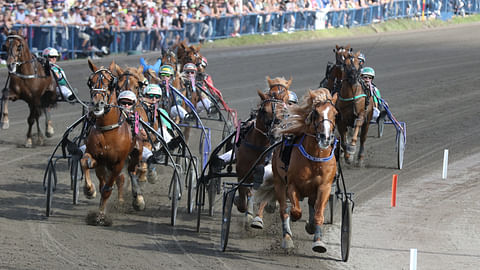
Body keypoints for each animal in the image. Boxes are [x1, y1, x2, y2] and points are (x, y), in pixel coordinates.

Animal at [81, 59, 144, 226]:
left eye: (110, 82)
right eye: (91, 82)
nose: (98, 103)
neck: (107, 129)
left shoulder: (118, 163)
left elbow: (107, 189)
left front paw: (101, 216)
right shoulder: (97, 157)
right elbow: (85, 162)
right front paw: (89, 190)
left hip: (137, 151)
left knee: (132, 171)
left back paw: (138, 199)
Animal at [233, 77, 290, 216]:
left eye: (284, 112)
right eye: (264, 110)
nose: (275, 133)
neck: (259, 147)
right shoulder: (241, 172)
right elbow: (242, 196)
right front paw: (241, 203)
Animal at [256, 88, 340, 253]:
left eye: (335, 113)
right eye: (316, 113)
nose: (325, 137)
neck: (315, 158)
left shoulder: (324, 187)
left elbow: (318, 214)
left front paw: (318, 240)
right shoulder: (292, 185)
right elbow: (294, 210)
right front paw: (294, 220)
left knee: (312, 205)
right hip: (279, 182)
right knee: (284, 210)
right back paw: (287, 238)